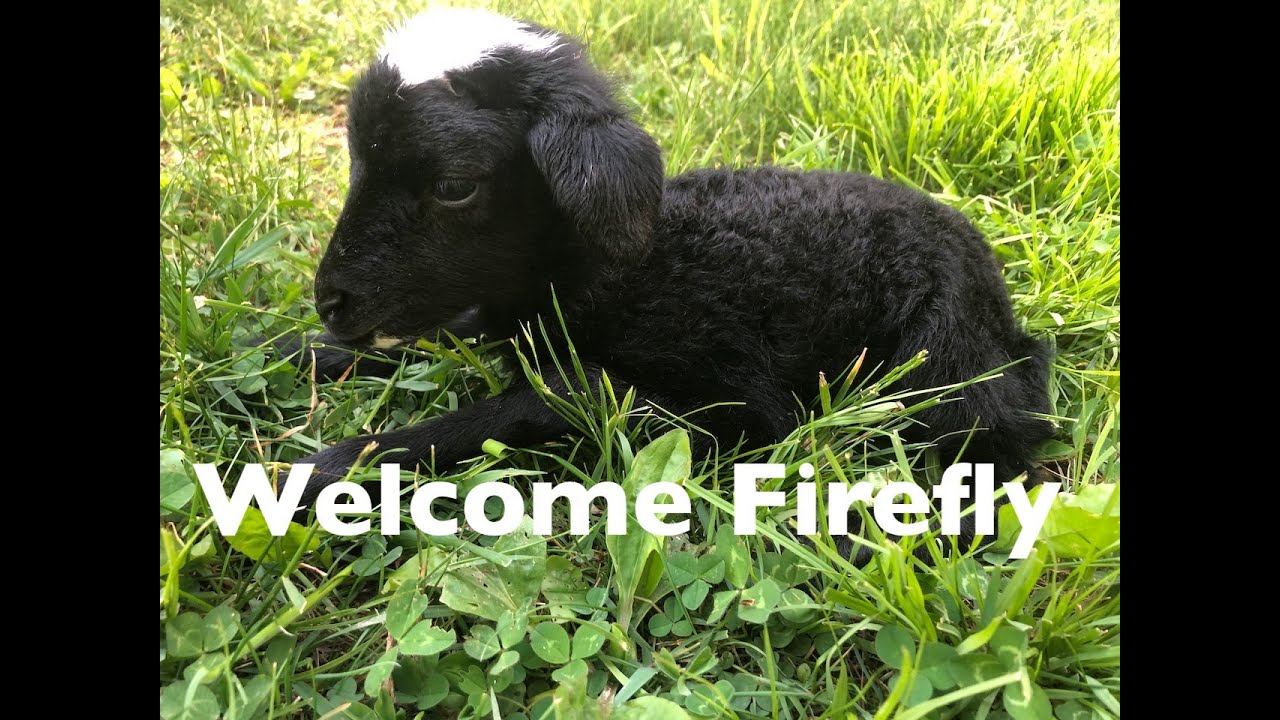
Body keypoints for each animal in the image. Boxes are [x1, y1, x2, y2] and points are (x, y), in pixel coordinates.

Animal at [281, 7, 1053, 558]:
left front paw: (318, 472)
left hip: (943, 364)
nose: (332, 302)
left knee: (985, 451)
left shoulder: (697, 404)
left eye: (454, 186)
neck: (619, 272)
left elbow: (517, 410)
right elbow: (449, 332)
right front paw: (308, 351)